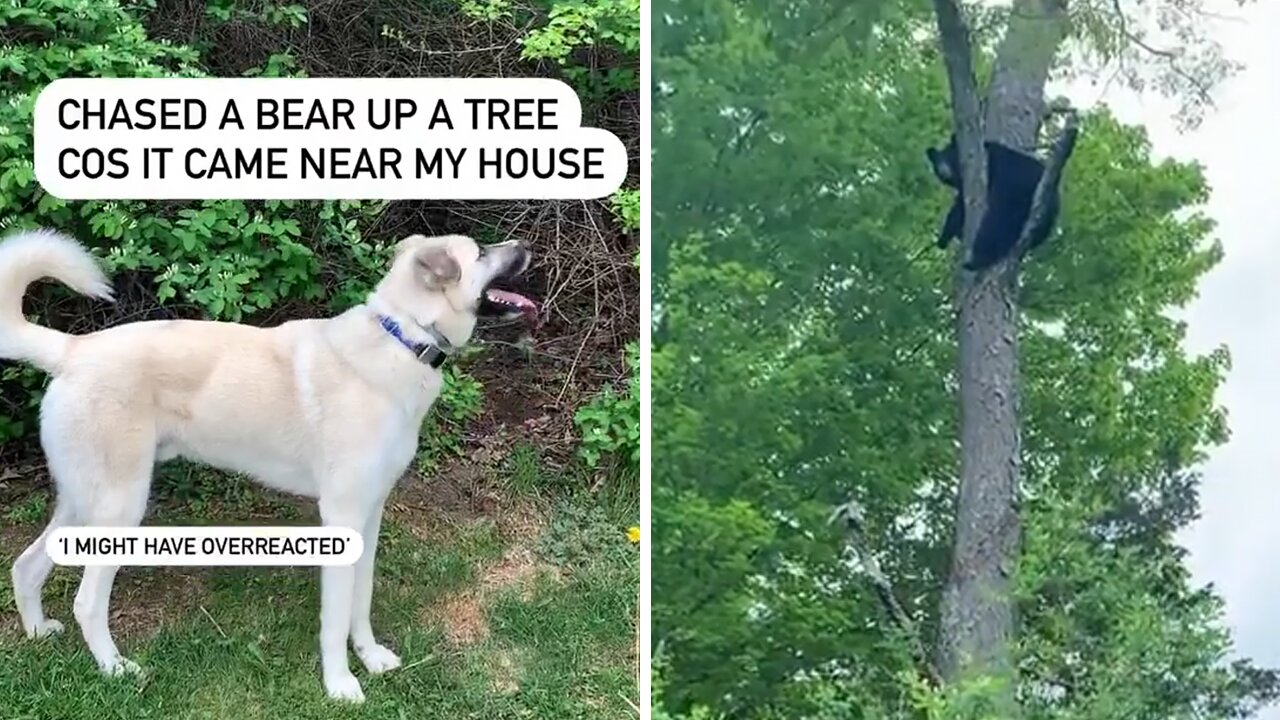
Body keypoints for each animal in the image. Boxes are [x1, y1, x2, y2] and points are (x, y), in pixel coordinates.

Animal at [0, 226, 535, 696]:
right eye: (481, 251)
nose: (526, 244)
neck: (403, 338)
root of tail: (73, 349)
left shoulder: (371, 515)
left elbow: (360, 603)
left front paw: (370, 657)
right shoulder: (341, 518)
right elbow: (334, 618)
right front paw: (340, 685)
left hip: (83, 502)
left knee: (25, 567)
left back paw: (37, 631)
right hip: (119, 509)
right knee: (87, 601)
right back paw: (115, 669)